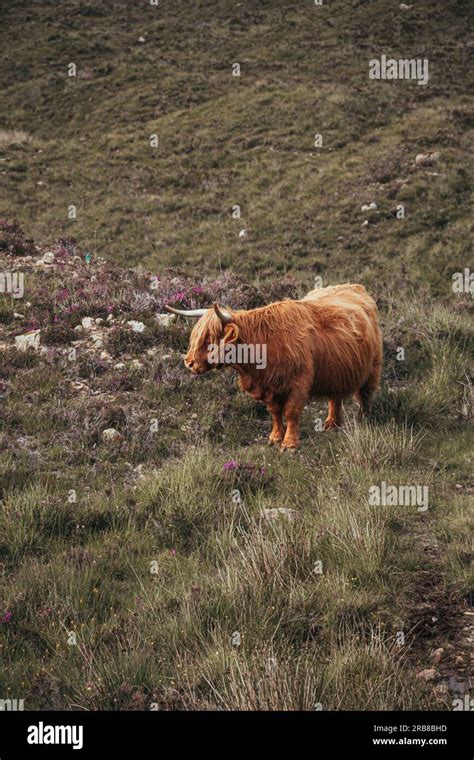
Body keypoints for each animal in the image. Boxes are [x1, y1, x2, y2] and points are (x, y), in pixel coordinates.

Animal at [167, 284, 382, 452]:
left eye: (210, 339)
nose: (188, 362)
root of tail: (355, 287)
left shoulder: (299, 383)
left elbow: (291, 412)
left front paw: (289, 444)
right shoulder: (269, 386)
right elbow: (276, 413)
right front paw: (275, 437)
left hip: (373, 367)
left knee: (365, 394)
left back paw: (364, 419)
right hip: (336, 370)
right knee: (334, 398)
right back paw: (331, 424)